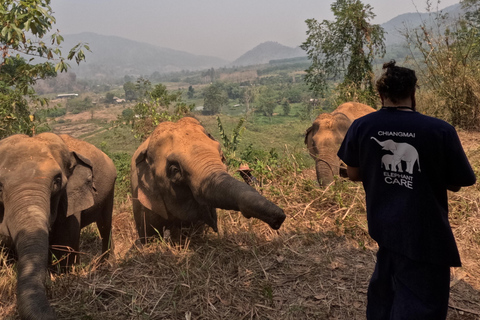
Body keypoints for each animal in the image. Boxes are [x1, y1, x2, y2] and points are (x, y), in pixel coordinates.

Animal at [0, 132, 116, 320]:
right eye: (0, 187)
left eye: (57, 180)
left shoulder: (69, 198)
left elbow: (64, 243)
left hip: (110, 189)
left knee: (105, 226)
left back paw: (104, 264)